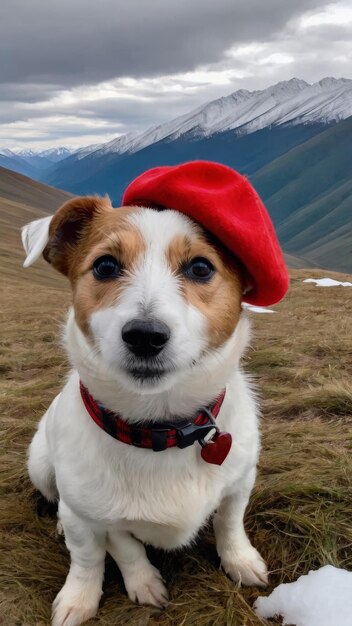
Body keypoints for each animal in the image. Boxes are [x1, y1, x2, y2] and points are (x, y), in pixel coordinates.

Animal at [20, 162, 288, 624]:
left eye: (200, 268)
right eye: (105, 266)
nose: (145, 336)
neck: (157, 430)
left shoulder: (240, 481)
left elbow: (229, 524)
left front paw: (239, 560)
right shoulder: (96, 515)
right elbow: (107, 550)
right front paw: (108, 591)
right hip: (39, 463)